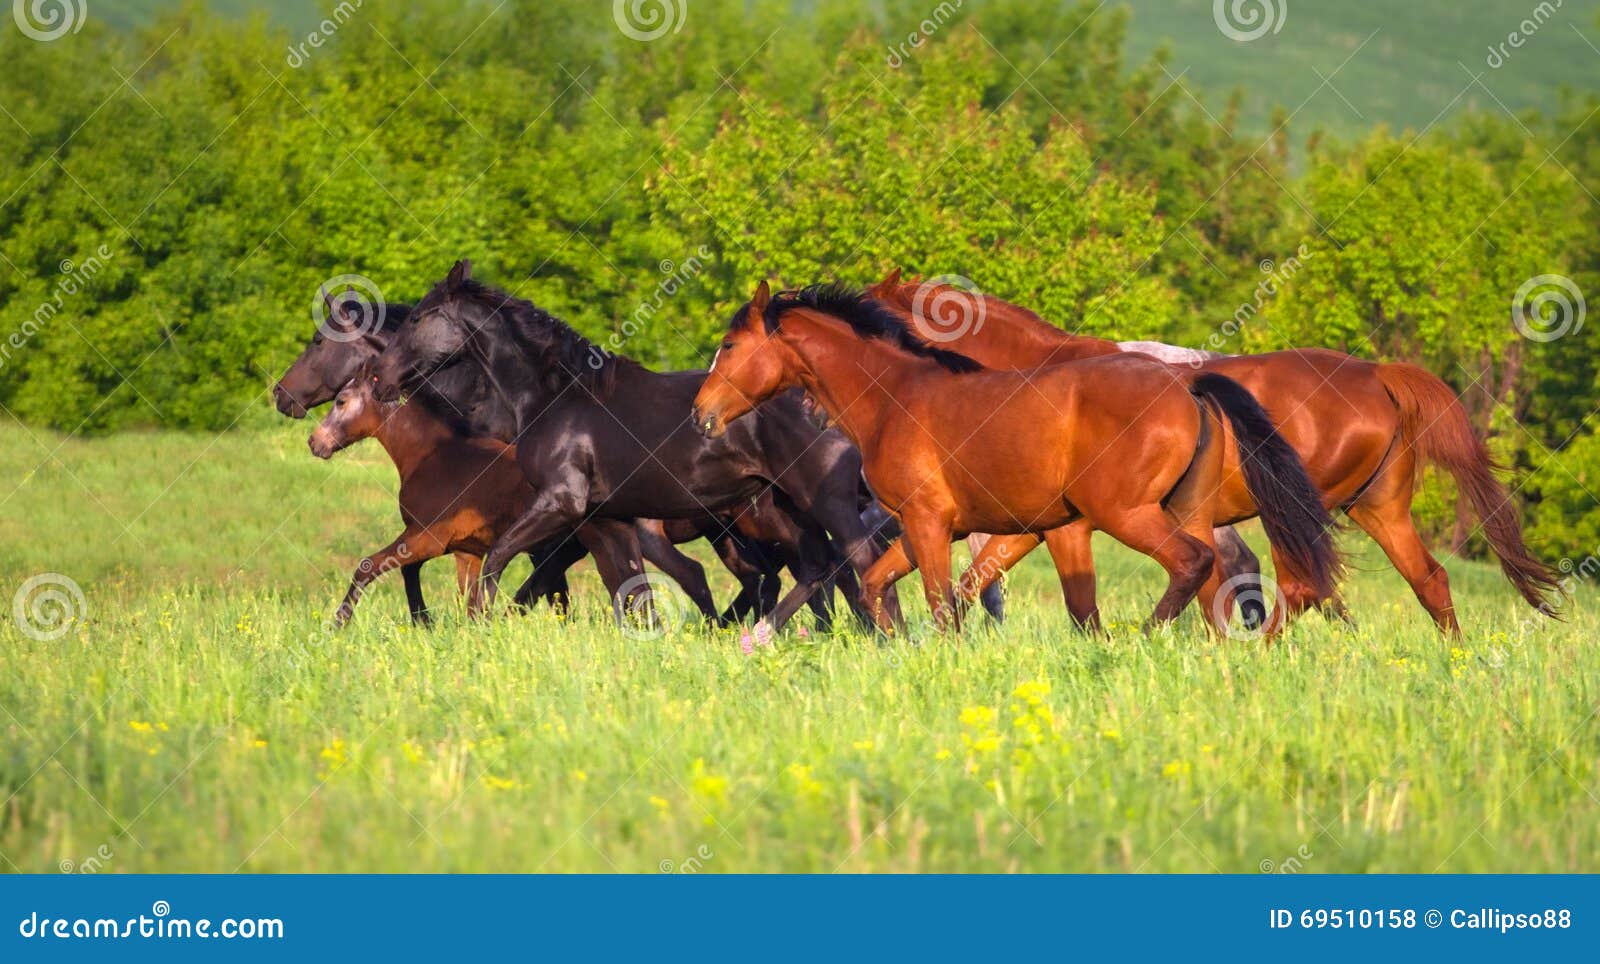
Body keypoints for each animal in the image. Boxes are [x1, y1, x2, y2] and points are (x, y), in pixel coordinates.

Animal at [370, 259, 896, 634]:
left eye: (419, 318)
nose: (380, 379)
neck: (557, 396)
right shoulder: (610, 520)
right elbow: (633, 593)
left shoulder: (560, 502)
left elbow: (496, 560)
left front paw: (481, 627)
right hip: (786, 509)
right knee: (819, 567)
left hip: (821, 503)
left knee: (860, 562)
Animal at [691, 281, 1340, 636]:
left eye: (729, 345)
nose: (701, 415)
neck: (895, 395)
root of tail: (1188, 383)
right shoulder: (974, 529)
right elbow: (888, 586)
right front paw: (896, 644)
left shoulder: (930, 524)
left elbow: (943, 603)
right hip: (1187, 509)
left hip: (1128, 513)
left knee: (1195, 565)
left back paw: (1147, 637)